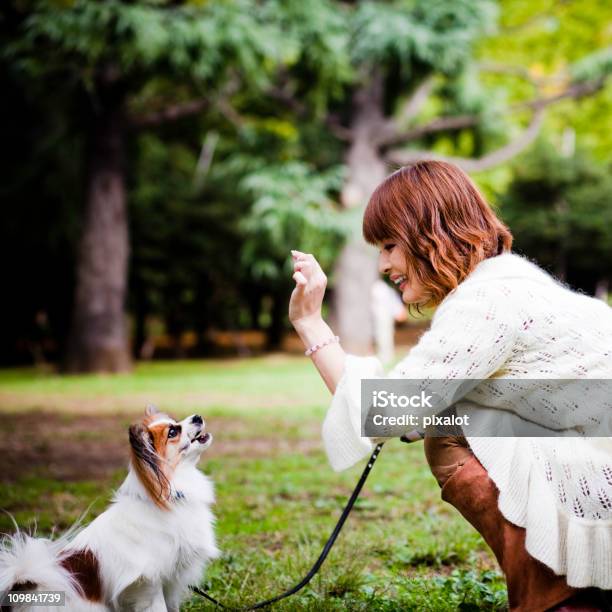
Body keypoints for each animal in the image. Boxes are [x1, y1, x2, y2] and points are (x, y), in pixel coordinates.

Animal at [0, 404, 220, 608]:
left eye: (174, 422)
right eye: (173, 432)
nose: (198, 416)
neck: (169, 496)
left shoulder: (170, 578)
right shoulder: (149, 581)